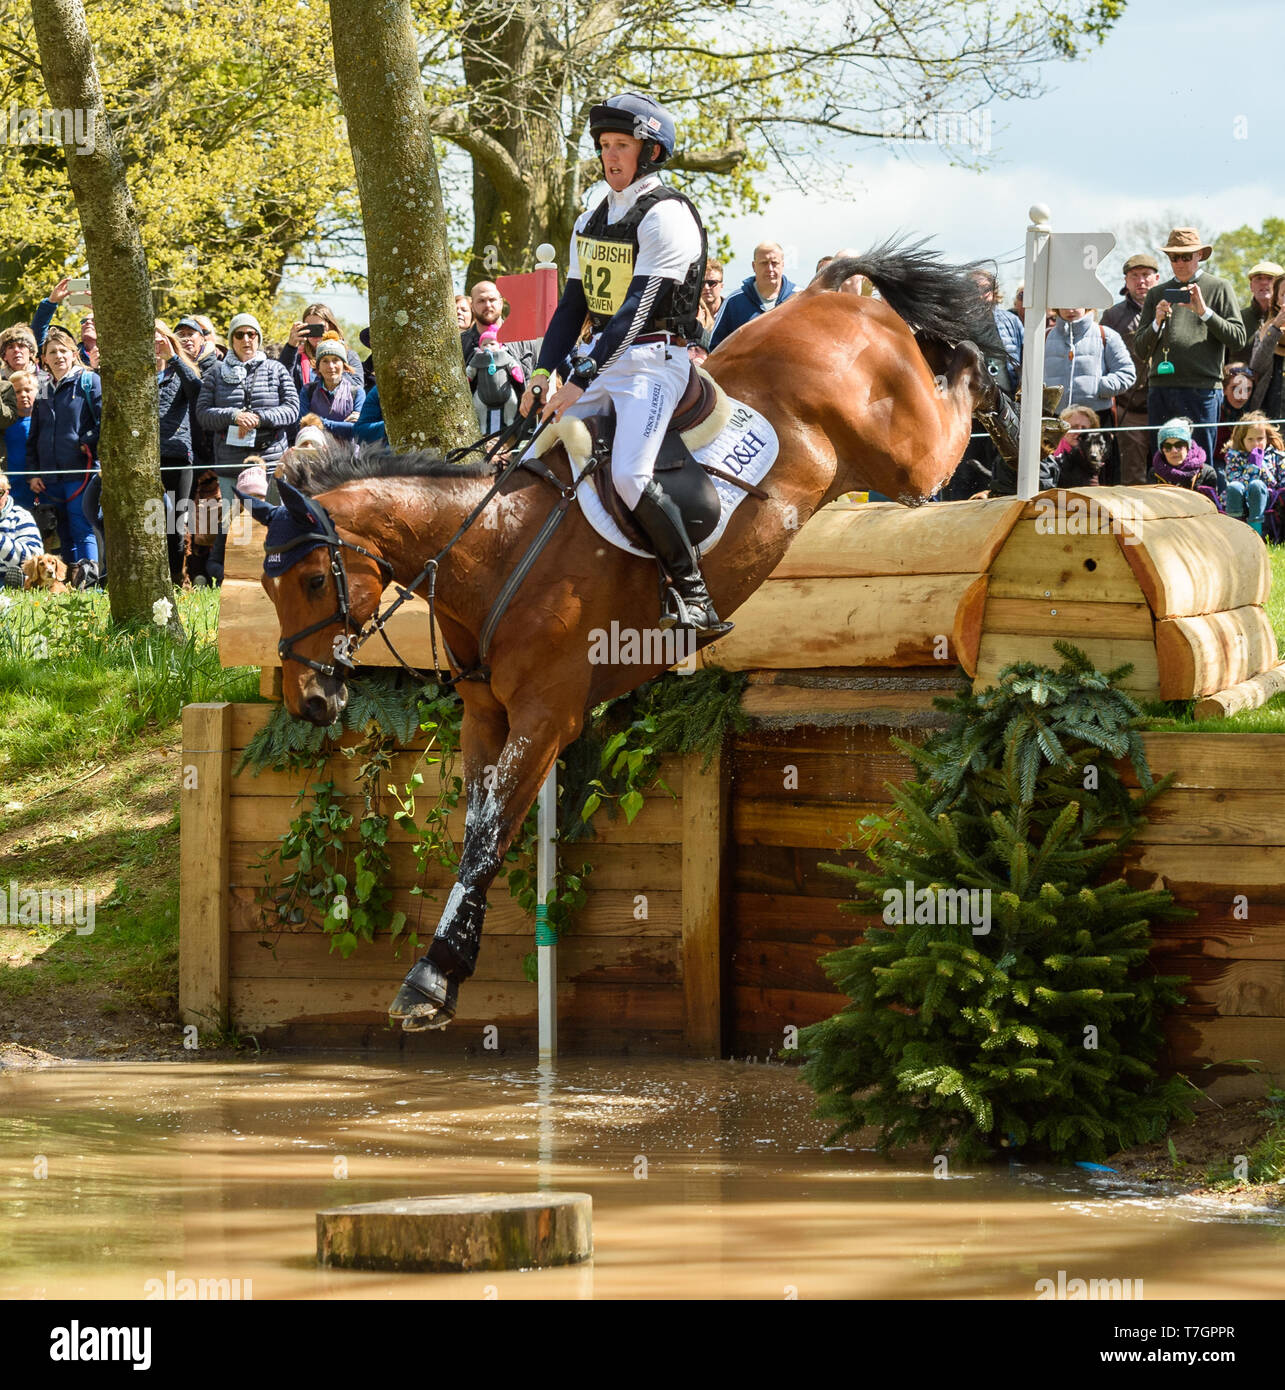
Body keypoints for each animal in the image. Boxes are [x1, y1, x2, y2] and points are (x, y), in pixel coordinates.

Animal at [255, 241, 1006, 1034]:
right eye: (271, 588)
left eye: (312, 581)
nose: (307, 701)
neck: (491, 550)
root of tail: (830, 294)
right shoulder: (487, 717)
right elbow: (475, 831)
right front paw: (442, 973)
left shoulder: (545, 717)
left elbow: (489, 838)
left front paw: (434, 976)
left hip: (908, 459)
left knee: (956, 386)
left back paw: (998, 387)